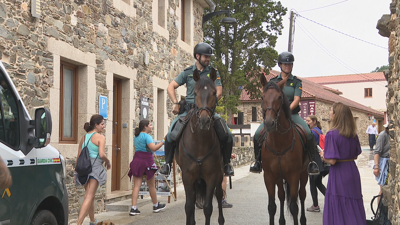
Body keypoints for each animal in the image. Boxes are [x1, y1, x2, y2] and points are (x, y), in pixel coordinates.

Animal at [175, 70, 225, 225]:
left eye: (214, 92)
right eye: (195, 93)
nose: (204, 121)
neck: (200, 141)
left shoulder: (211, 175)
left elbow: (208, 208)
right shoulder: (187, 175)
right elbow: (189, 206)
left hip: (220, 174)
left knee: (219, 194)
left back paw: (221, 220)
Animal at [260, 75, 310, 225]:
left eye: (279, 97)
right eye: (262, 97)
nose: (269, 123)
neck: (279, 143)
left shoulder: (294, 176)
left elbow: (294, 207)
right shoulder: (269, 176)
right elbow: (272, 206)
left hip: (303, 174)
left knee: (302, 195)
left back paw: (303, 220)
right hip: (279, 177)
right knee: (282, 196)